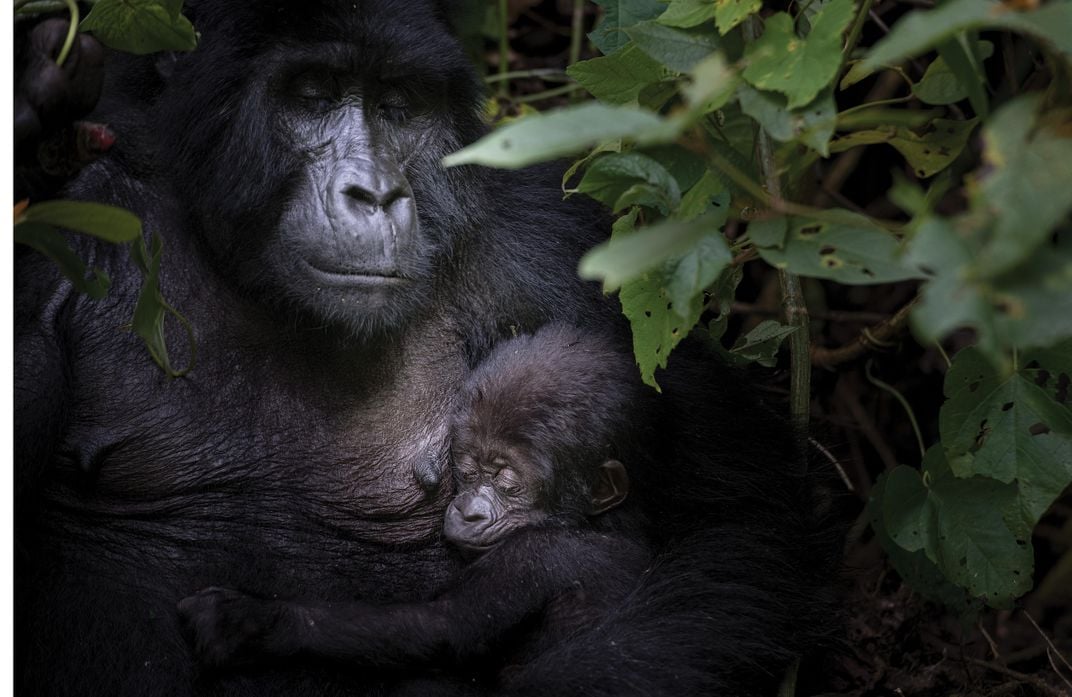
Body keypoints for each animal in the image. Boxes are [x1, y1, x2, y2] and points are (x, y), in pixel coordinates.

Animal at [180, 325, 651, 677]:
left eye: (507, 484)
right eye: (468, 471)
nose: (469, 511)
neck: (597, 522)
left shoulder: (534, 556)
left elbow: (437, 627)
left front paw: (252, 622)